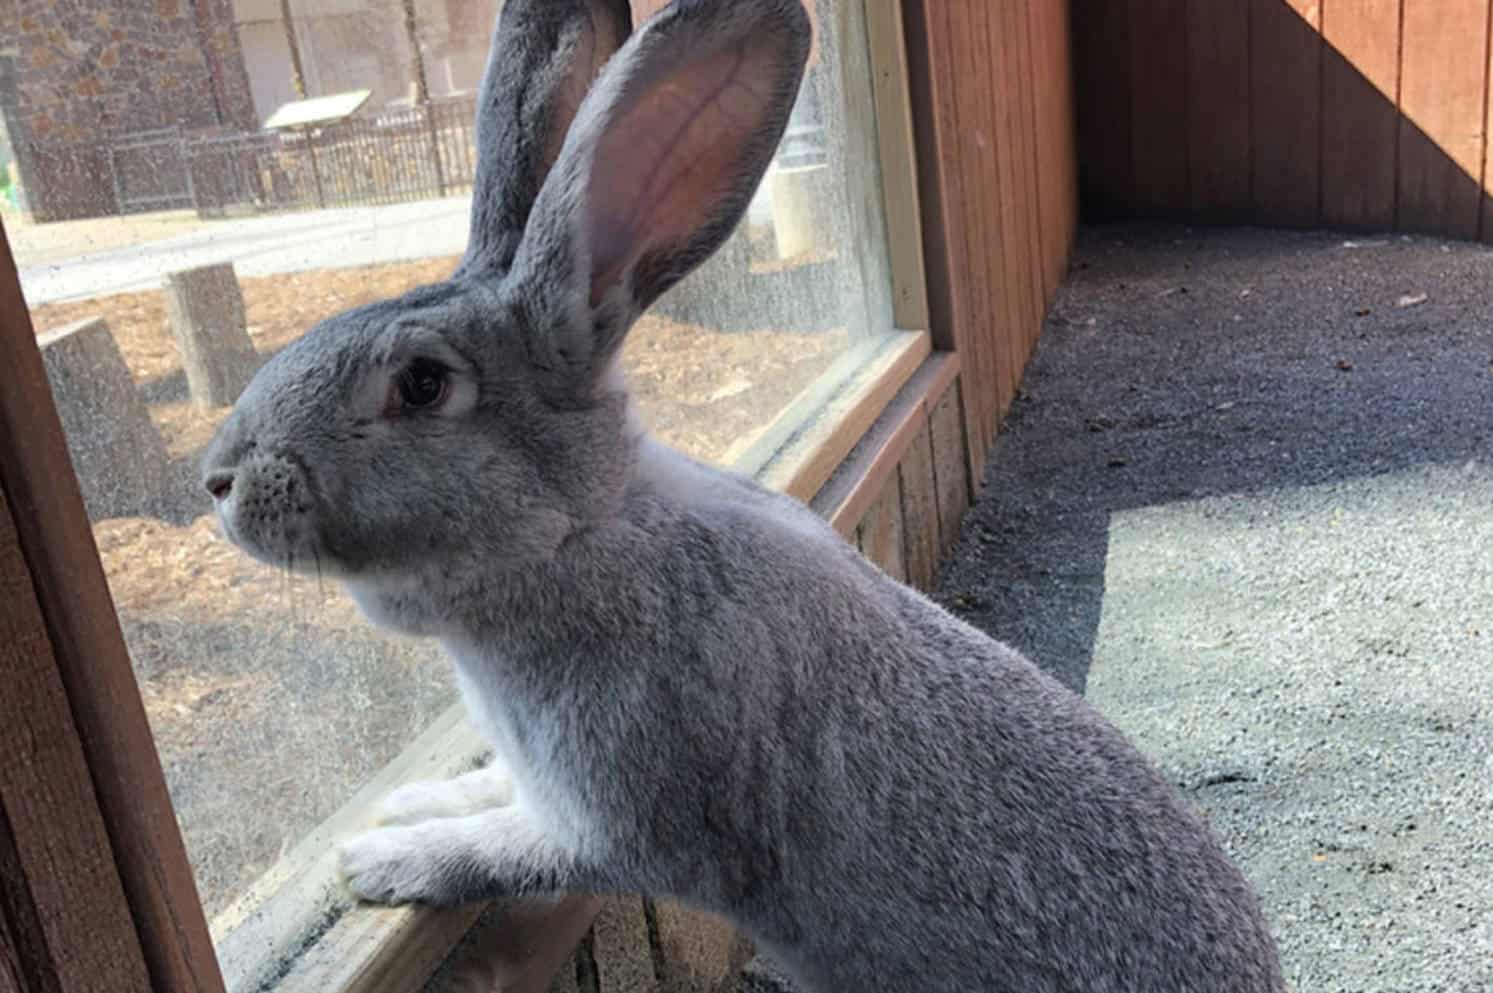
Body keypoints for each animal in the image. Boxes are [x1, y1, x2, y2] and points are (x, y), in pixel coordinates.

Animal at [204, 1, 1289, 991]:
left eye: (423, 386)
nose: (218, 478)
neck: (583, 533)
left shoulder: (621, 816)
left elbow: (506, 853)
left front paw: (380, 859)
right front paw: (405, 808)